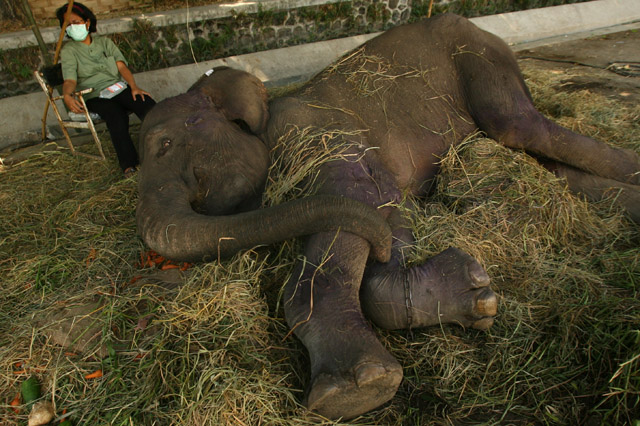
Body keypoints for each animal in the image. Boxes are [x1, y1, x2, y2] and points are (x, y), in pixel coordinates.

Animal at [136, 14, 640, 420]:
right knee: (547, 164)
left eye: (166, 145)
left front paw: (357, 391)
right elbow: (383, 216)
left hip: (478, 56)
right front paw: (473, 293)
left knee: (521, 128)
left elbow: (355, 206)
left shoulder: (317, 136)